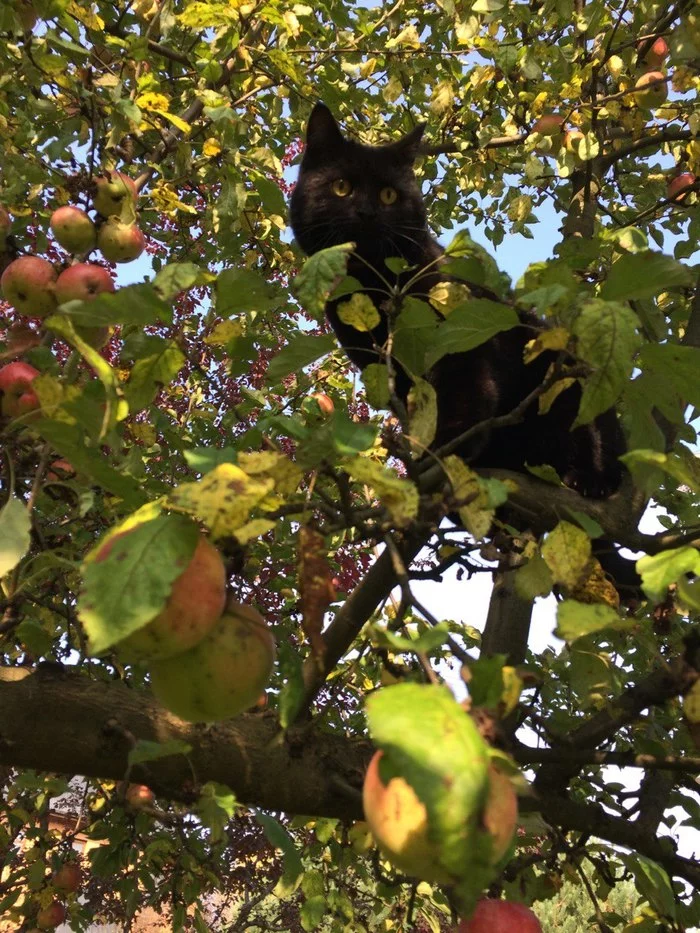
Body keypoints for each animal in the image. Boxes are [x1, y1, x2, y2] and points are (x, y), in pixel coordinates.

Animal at [288, 100, 628, 502]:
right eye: (342, 187)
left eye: (389, 195)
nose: (367, 213)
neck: (374, 284)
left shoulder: (458, 338)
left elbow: (462, 390)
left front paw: (448, 449)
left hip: (570, 381)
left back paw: (591, 479)